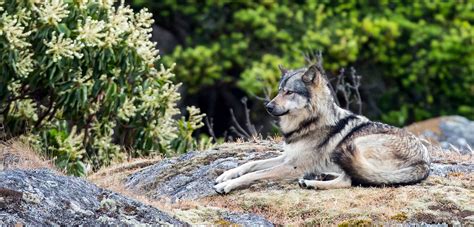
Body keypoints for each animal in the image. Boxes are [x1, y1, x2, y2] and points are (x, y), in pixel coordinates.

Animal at [215, 63, 430, 194]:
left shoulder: (293, 166)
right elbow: (250, 164)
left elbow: (254, 174)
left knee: (349, 181)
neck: (308, 123)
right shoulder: (287, 158)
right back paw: (319, 175)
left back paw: (311, 182)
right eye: (279, 91)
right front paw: (225, 176)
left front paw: (227, 185)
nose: (268, 106)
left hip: (355, 144)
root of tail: (425, 162)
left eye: (289, 92)